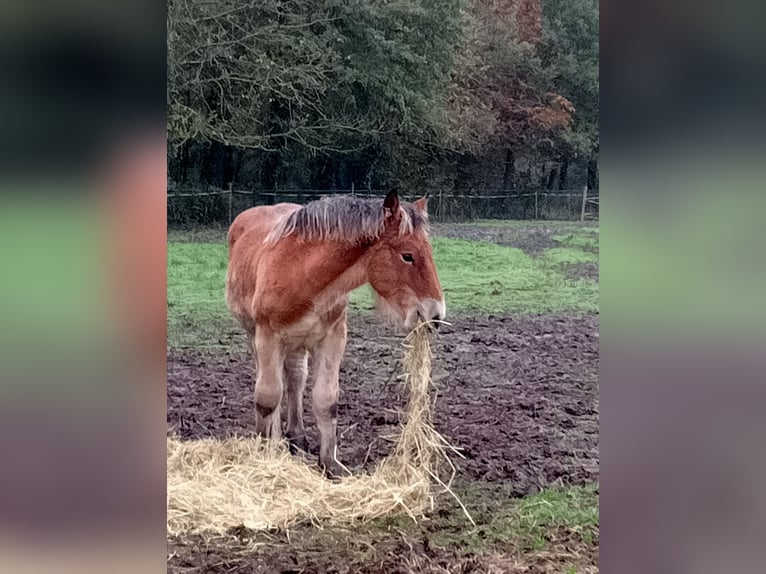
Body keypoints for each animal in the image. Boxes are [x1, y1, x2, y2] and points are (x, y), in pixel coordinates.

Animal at [225, 191, 448, 480]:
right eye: (407, 256)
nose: (435, 314)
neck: (303, 273)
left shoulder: (334, 337)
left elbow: (326, 399)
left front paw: (330, 463)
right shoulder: (267, 337)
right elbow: (267, 397)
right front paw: (265, 452)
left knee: (295, 379)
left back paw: (296, 436)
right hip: (256, 336)